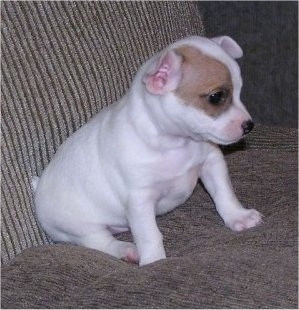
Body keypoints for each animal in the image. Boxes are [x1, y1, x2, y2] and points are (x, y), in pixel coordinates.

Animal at [35, 35, 262, 266]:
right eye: (216, 97)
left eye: (239, 91)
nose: (249, 125)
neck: (176, 143)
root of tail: (38, 188)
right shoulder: (140, 201)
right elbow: (149, 234)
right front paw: (154, 261)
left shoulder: (212, 164)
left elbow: (224, 193)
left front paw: (238, 216)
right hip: (81, 228)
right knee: (100, 241)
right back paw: (126, 249)